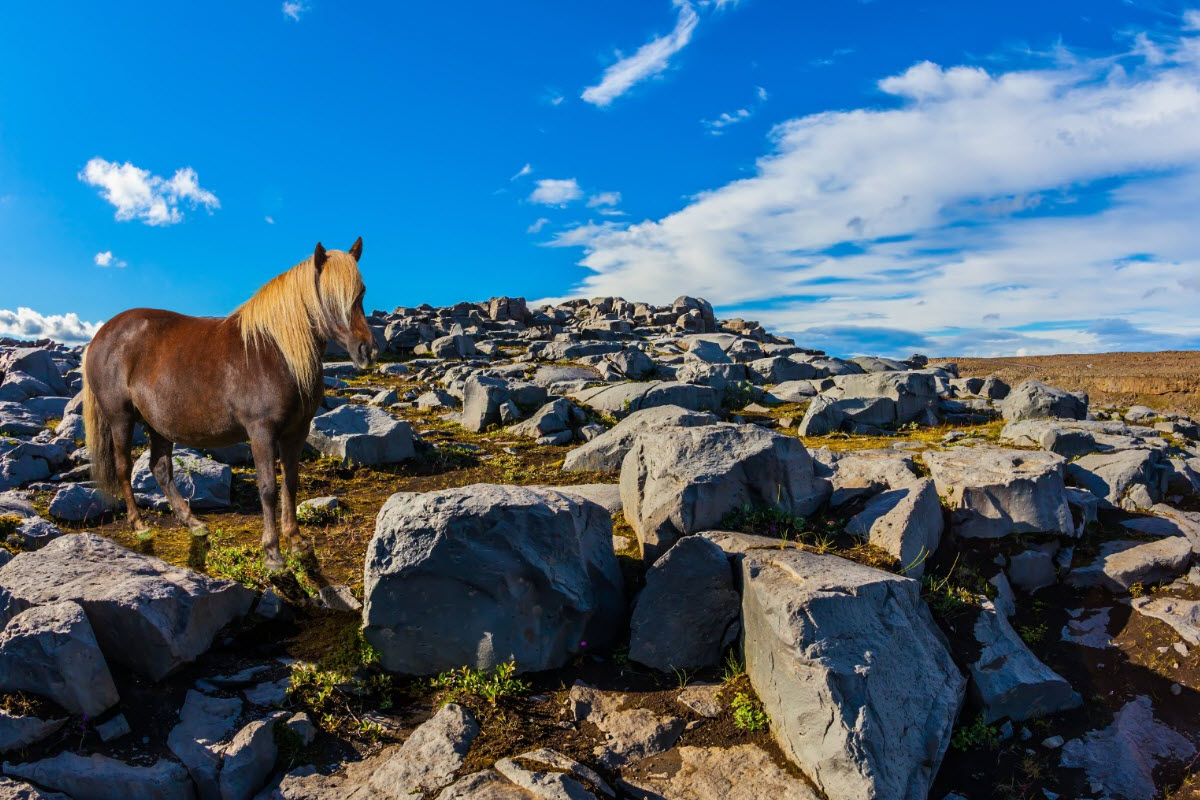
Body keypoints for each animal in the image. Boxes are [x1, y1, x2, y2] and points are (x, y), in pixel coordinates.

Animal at [82, 237, 372, 568]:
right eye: (330, 296)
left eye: (362, 292)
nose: (366, 350)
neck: (274, 351)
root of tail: (100, 336)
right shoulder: (261, 432)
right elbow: (268, 488)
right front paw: (273, 552)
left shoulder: (296, 431)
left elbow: (291, 483)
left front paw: (296, 541)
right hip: (121, 418)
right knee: (124, 467)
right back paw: (139, 525)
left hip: (158, 425)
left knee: (160, 469)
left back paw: (193, 523)